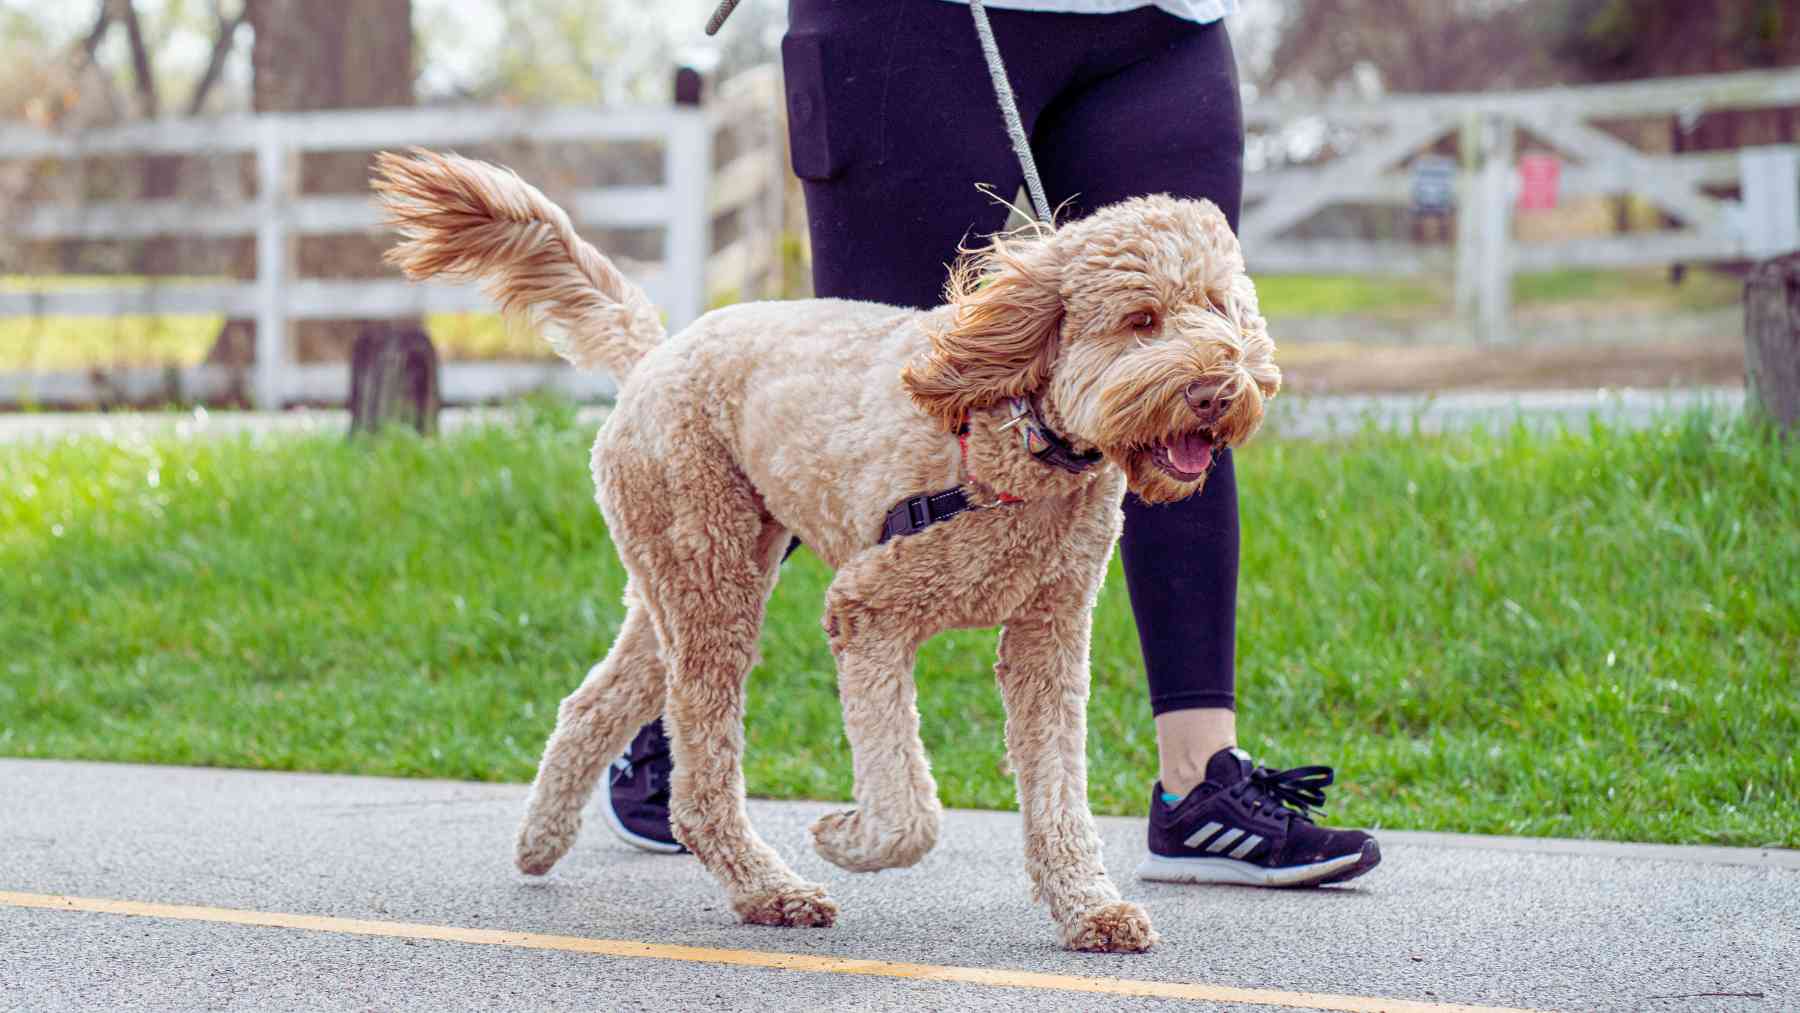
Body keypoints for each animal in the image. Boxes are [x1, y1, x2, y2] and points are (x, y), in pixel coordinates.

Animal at [376, 148, 1281, 950]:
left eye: (1220, 308)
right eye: (1142, 320)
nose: (1219, 389)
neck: (1018, 432)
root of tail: (657, 354)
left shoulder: (1047, 638)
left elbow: (1058, 790)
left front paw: (1089, 907)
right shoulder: (868, 609)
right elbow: (909, 810)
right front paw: (847, 836)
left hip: (690, 577)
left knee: (593, 704)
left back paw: (540, 839)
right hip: (711, 578)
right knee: (701, 777)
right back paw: (768, 889)